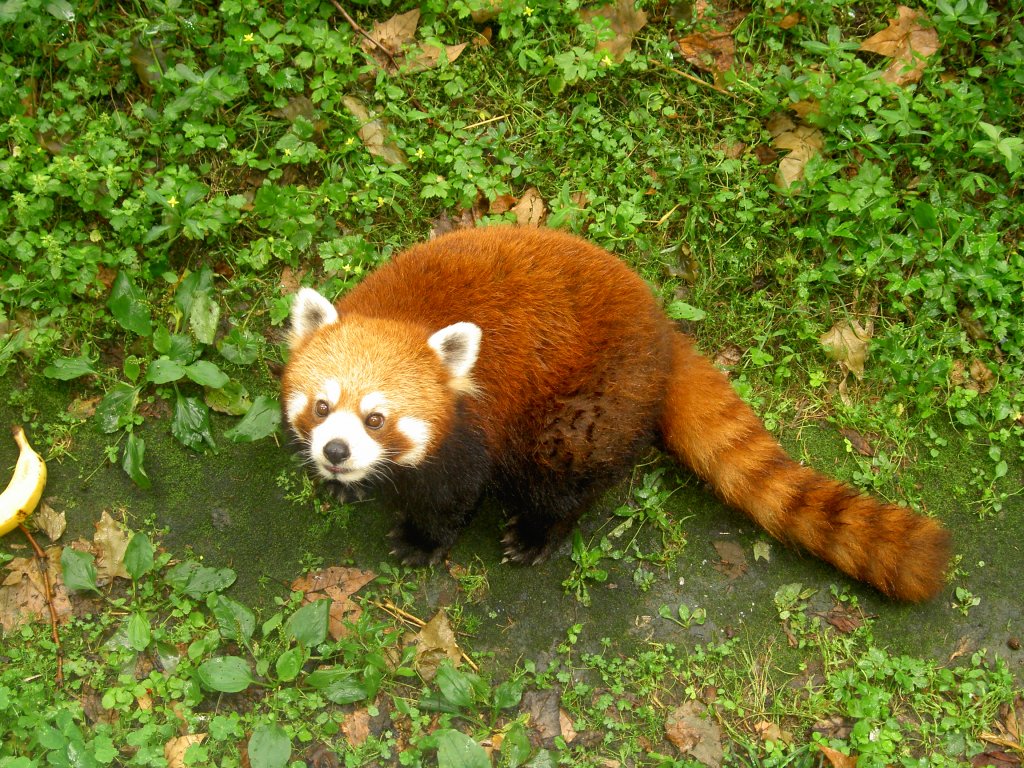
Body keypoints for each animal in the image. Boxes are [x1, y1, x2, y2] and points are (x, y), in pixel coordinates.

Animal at [282, 225, 950, 606]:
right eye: (322, 407)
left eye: (376, 418)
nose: (336, 452)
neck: (403, 314)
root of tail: (662, 326)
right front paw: (345, 486)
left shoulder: (473, 426)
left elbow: (454, 492)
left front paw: (422, 540)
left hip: (588, 400)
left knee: (564, 472)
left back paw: (538, 532)